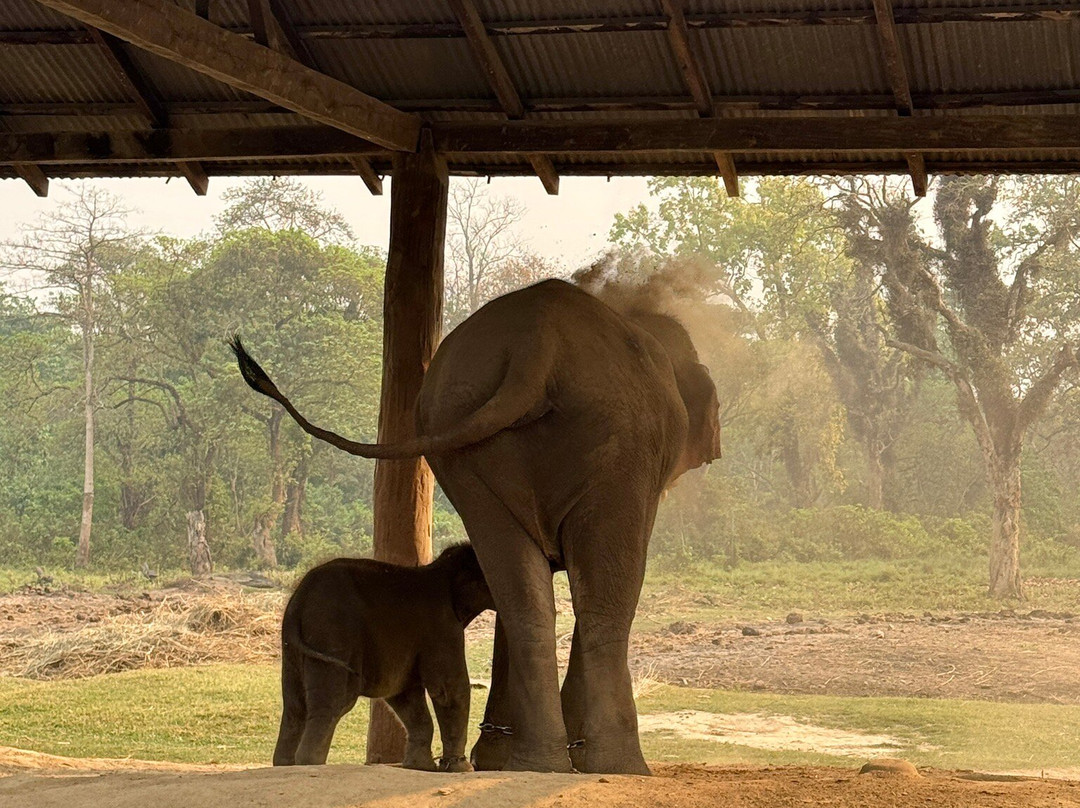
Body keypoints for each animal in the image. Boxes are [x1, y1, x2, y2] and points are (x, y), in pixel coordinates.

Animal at [273, 543, 494, 771]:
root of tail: (299, 599)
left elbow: (403, 695)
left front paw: (419, 766)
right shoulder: (443, 630)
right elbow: (449, 690)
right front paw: (462, 768)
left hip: (292, 653)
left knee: (294, 709)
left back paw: (284, 764)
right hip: (331, 634)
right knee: (332, 704)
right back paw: (309, 764)